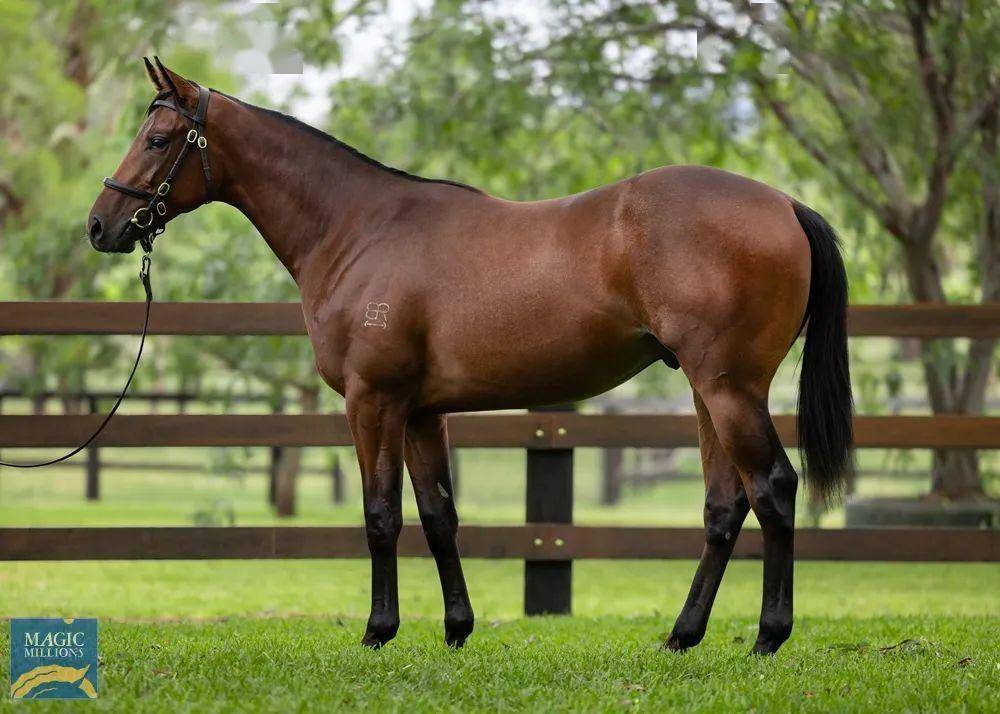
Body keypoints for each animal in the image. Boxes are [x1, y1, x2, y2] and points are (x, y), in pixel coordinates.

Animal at [88, 59, 853, 655]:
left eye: (157, 139)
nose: (100, 225)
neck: (359, 229)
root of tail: (784, 204)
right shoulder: (423, 412)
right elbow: (438, 516)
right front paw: (457, 628)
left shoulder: (374, 401)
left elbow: (381, 515)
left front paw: (378, 630)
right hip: (706, 392)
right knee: (726, 506)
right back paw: (683, 636)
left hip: (729, 390)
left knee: (773, 489)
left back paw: (768, 637)